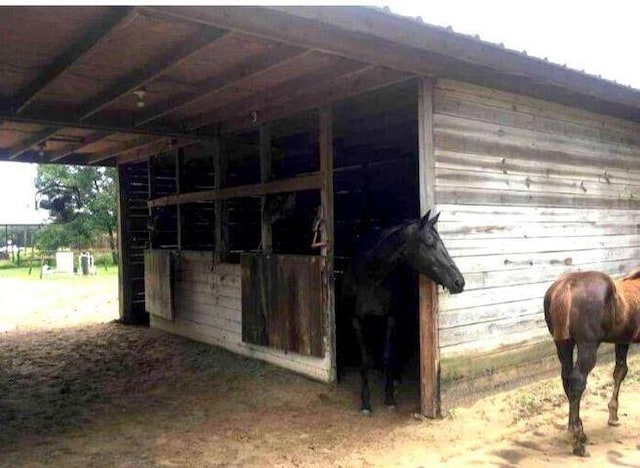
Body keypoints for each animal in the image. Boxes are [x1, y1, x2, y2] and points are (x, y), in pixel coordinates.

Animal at [342, 211, 462, 414]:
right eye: (430, 243)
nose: (459, 282)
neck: (370, 277)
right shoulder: (356, 320)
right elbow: (365, 360)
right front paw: (365, 402)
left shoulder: (392, 318)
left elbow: (388, 356)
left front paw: (389, 397)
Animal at [544, 268, 640, 456]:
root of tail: (565, 286)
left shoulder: (622, 340)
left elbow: (620, 371)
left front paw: (613, 417)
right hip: (587, 346)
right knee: (577, 382)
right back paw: (577, 442)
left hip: (563, 344)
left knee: (566, 379)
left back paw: (579, 432)